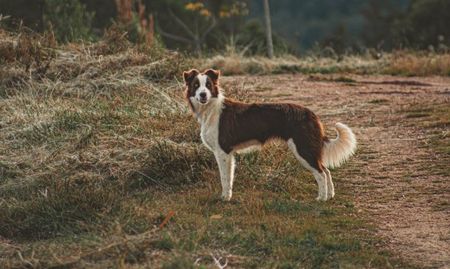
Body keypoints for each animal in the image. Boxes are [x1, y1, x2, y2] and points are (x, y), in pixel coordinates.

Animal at [182, 69, 356, 201]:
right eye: (196, 85)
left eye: (208, 85)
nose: (203, 95)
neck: (210, 108)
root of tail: (311, 113)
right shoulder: (229, 154)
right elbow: (229, 177)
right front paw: (228, 196)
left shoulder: (222, 151)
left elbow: (224, 178)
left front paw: (224, 198)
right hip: (308, 149)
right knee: (326, 170)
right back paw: (330, 195)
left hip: (303, 148)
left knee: (320, 172)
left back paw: (322, 198)